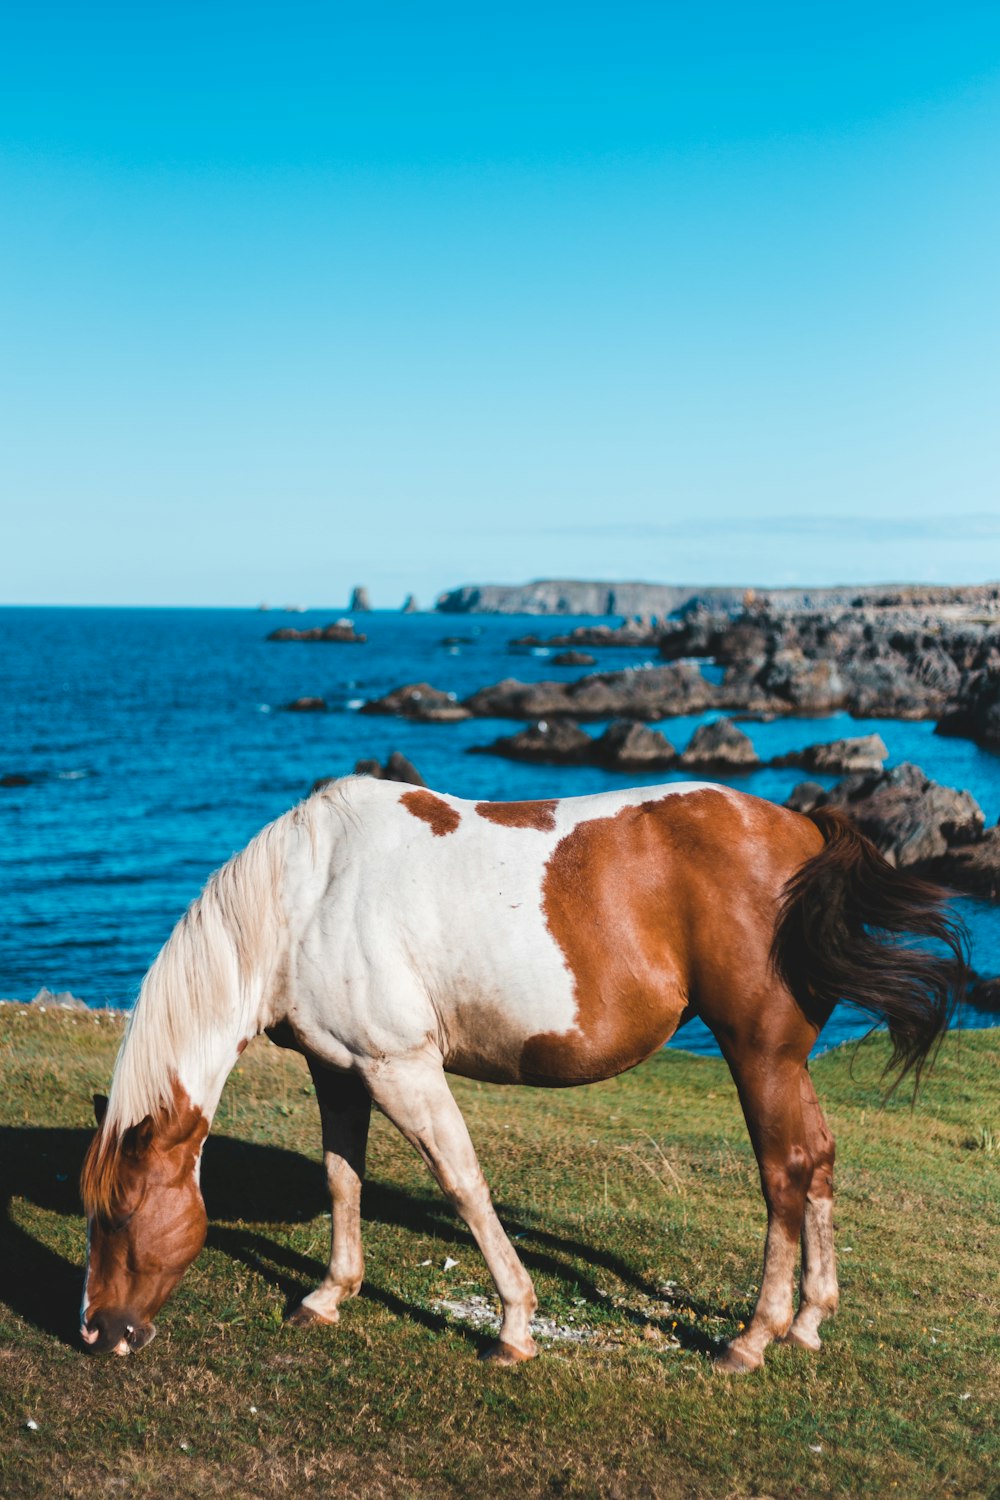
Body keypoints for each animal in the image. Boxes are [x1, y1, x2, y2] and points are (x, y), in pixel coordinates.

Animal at [82, 774, 965, 1374]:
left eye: (119, 1214)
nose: (97, 1330)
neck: (307, 897)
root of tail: (804, 828)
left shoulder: (401, 1067)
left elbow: (463, 1183)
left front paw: (513, 1325)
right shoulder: (340, 1070)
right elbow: (343, 1179)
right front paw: (330, 1294)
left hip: (760, 1056)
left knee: (785, 1173)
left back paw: (754, 1337)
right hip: (783, 1063)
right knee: (817, 1162)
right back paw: (811, 1319)